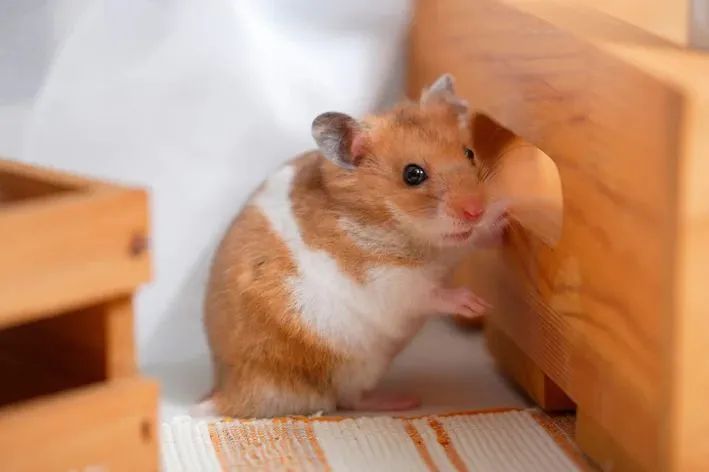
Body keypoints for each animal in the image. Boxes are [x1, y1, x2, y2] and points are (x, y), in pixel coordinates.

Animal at [202, 73, 508, 418]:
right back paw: (403, 401)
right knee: (348, 399)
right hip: (349, 366)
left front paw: (503, 223)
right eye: (413, 174)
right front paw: (476, 304)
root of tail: (228, 394)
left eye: (469, 153)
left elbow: (472, 240)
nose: (475, 210)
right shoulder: (388, 282)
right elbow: (428, 293)